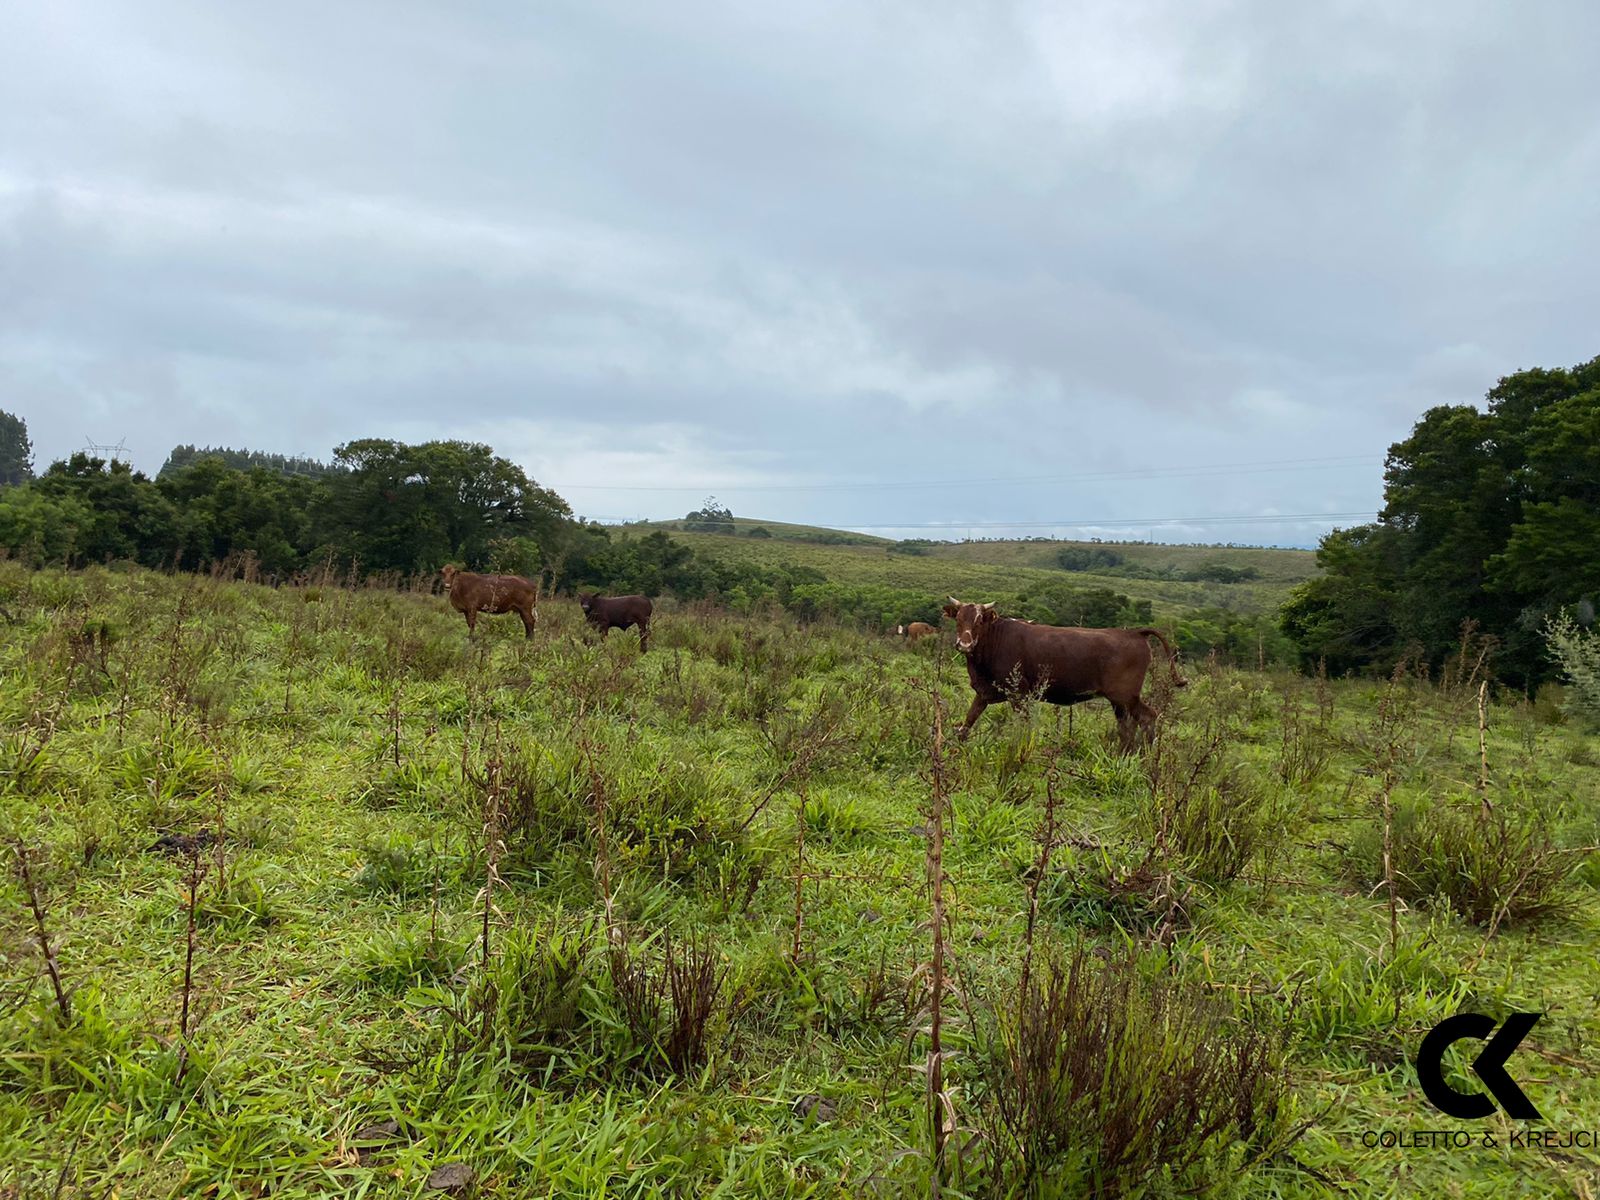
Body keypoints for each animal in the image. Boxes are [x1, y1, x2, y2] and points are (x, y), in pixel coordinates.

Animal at [934, 598, 1190, 755]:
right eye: (958, 619)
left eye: (979, 620)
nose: (964, 644)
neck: (996, 638)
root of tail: (1134, 633)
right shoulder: (986, 692)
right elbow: (969, 719)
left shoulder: (1019, 695)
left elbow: (1023, 726)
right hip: (1121, 701)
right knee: (1127, 725)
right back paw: (1124, 754)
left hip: (1125, 696)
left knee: (1147, 717)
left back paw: (1143, 755)